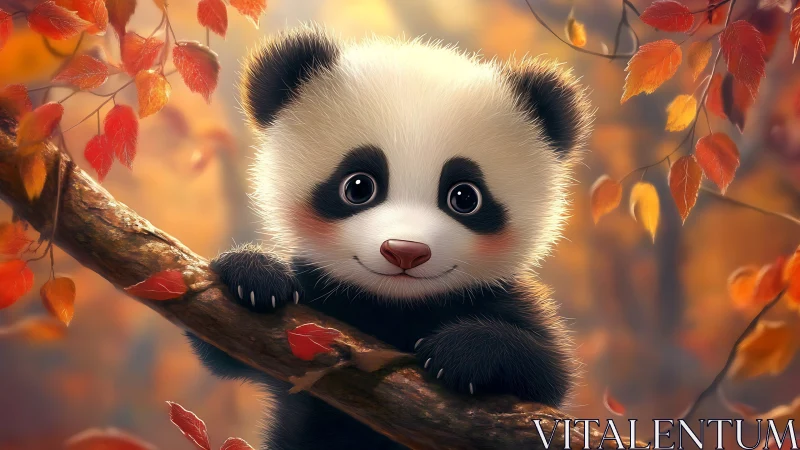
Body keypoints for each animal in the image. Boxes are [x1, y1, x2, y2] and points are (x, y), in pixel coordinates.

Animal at [188, 25, 593, 450]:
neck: (394, 305)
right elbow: (219, 345)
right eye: (359, 186)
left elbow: (549, 376)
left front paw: (461, 352)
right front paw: (255, 276)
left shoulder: (500, 299)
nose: (405, 252)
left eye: (465, 197)